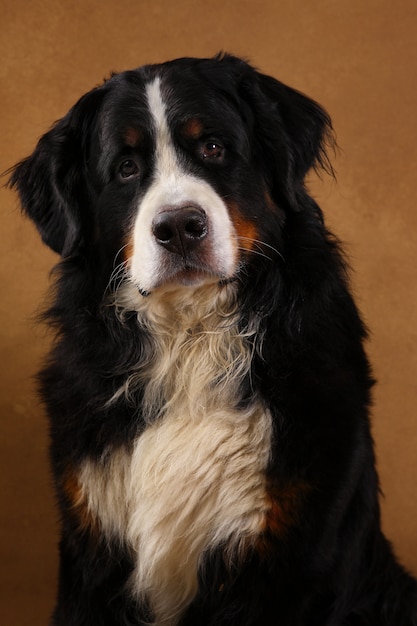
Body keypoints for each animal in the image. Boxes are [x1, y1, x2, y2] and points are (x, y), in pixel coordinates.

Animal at [9, 53, 416, 624]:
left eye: (214, 148)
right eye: (126, 168)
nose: (180, 226)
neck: (192, 339)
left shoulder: (294, 555)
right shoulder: (92, 544)